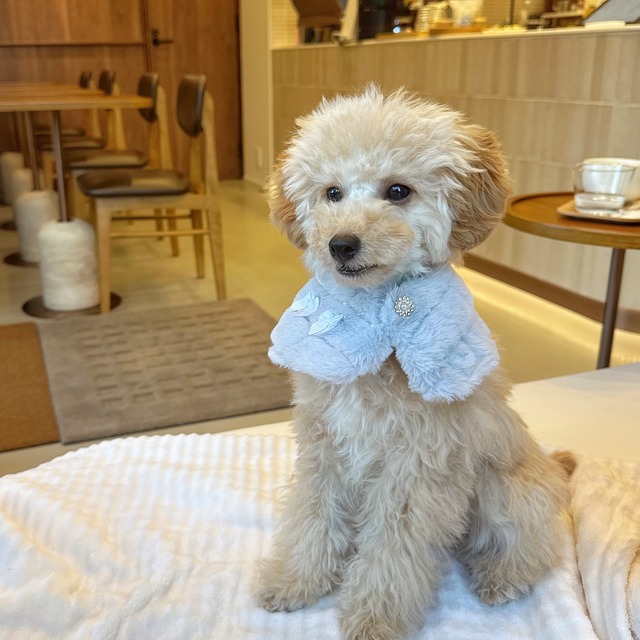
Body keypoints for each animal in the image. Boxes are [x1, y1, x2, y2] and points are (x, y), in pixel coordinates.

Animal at [256, 86, 568, 640]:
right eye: (332, 193)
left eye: (398, 191)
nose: (340, 244)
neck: (377, 316)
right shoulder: (323, 446)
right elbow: (312, 515)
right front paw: (295, 581)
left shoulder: (418, 466)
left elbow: (392, 546)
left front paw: (375, 617)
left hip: (506, 489)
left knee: (531, 545)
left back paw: (501, 577)